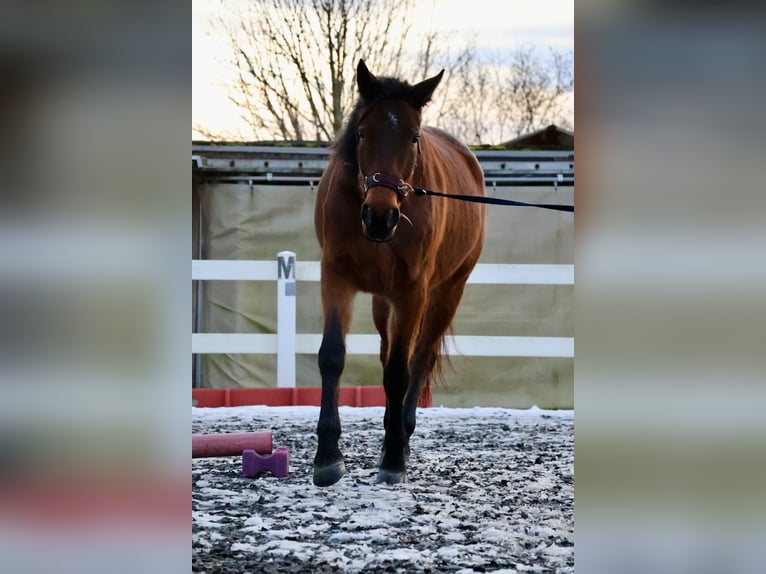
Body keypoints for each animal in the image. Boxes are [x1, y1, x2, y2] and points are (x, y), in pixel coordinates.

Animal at [314, 59, 486, 486]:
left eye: (412, 138)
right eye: (362, 133)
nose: (380, 216)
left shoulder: (412, 291)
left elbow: (398, 372)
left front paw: (393, 457)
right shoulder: (335, 278)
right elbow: (332, 357)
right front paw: (327, 456)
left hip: (446, 293)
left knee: (418, 359)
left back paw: (401, 437)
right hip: (383, 301)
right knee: (388, 351)